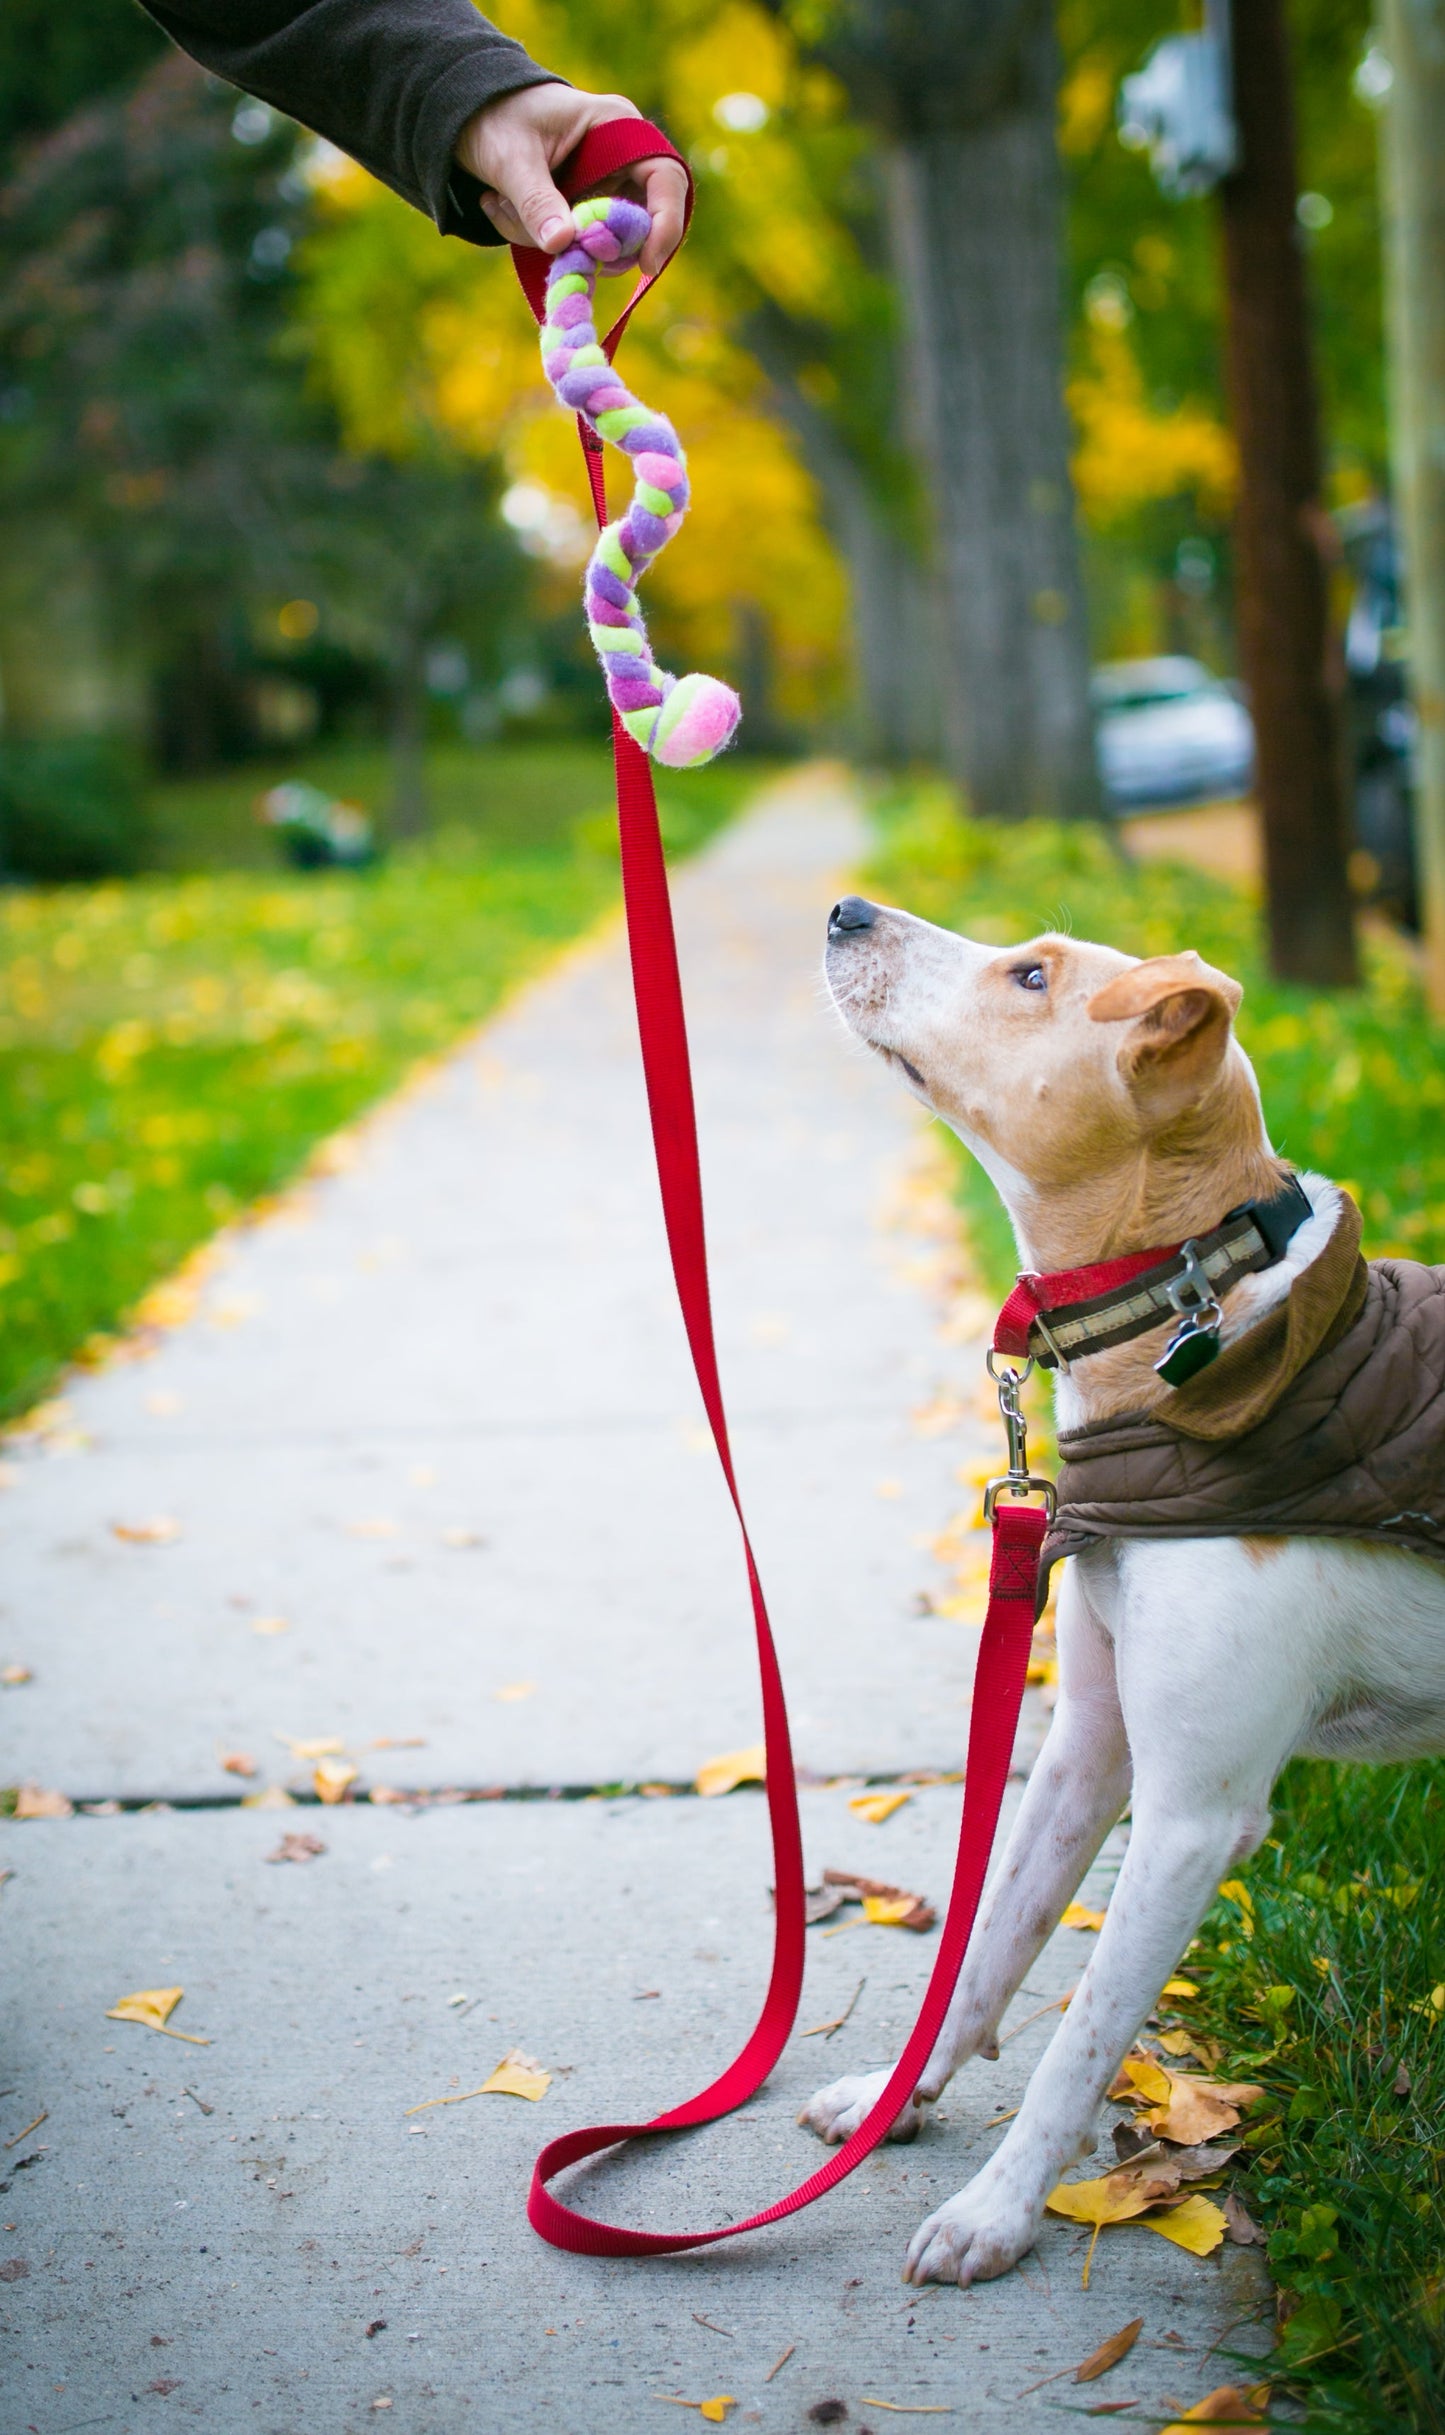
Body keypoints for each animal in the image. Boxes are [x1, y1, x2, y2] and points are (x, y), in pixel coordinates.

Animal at [799, 896, 1442, 2279]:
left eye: (1030, 978)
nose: (845, 908)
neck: (1187, 1310)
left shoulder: (1196, 1814)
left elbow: (1079, 2036)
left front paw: (992, 2211)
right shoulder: (1085, 1741)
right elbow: (986, 1943)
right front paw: (892, 2097)